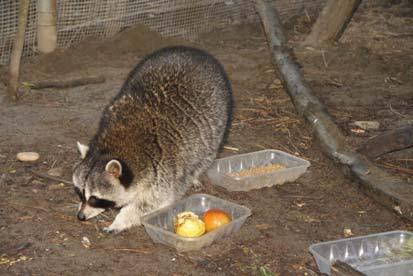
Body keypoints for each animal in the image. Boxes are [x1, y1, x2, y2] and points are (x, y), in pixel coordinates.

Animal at [71, 45, 232, 233]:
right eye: (80, 193)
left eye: (95, 198)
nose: (81, 216)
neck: (111, 148)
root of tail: (193, 50)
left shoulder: (162, 170)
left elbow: (151, 203)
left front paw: (120, 220)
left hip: (218, 117)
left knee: (206, 154)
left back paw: (195, 173)